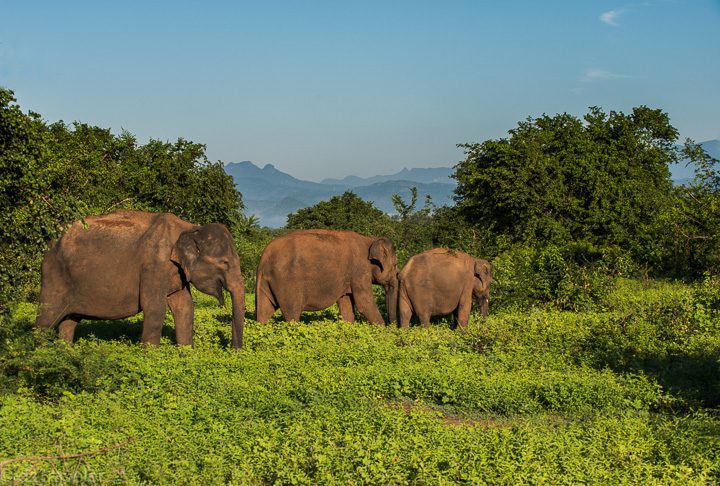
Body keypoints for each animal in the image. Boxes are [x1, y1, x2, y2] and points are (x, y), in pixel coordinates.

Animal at [35, 211, 246, 348]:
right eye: (225, 263)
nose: (233, 351)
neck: (190, 227)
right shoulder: (154, 264)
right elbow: (154, 307)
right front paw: (151, 355)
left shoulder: (176, 271)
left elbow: (185, 306)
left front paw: (186, 352)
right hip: (55, 276)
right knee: (46, 319)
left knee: (69, 321)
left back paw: (65, 353)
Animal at [255, 230, 400, 324]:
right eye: (395, 265)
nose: (393, 327)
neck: (369, 239)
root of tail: (264, 258)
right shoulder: (360, 269)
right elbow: (365, 304)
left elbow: (347, 306)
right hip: (286, 283)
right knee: (292, 314)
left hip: (266, 282)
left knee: (264, 312)